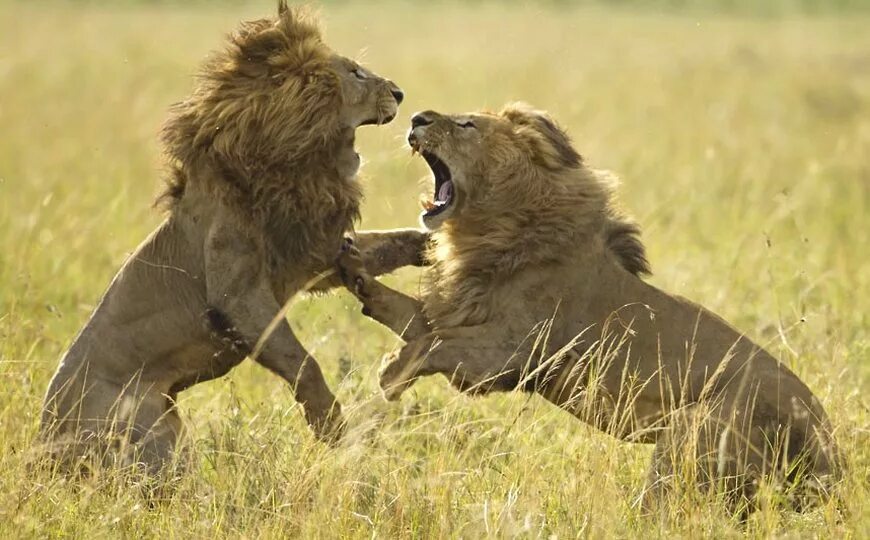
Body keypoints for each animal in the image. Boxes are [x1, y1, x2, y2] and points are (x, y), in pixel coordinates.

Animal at [40, 2, 428, 473]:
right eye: (354, 72)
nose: (400, 93)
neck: (285, 166)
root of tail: (42, 435)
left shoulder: (309, 255)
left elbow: (386, 244)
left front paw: (434, 244)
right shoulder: (237, 294)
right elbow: (301, 361)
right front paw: (332, 427)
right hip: (148, 436)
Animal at [336, 104, 841, 514]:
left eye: (466, 124)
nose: (417, 117)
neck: (491, 229)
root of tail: (829, 447)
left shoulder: (506, 354)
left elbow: (433, 342)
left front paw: (390, 372)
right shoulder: (464, 315)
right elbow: (411, 318)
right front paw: (354, 271)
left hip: (690, 435)